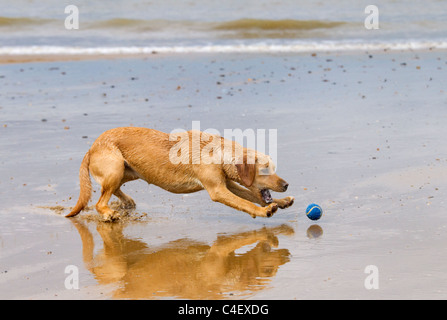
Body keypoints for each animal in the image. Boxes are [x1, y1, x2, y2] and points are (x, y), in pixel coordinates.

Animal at [66, 126, 296, 221]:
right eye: (265, 170)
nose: (286, 185)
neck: (218, 152)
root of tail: (91, 148)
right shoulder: (218, 190)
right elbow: (247, 202)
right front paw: (263, 212)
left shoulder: (227, 184)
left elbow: (253, 195)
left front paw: (281, 202)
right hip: (115, 167)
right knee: (99, 201)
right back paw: (108, 213)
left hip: (129, 171)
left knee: (112, 190)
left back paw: (127, 201)